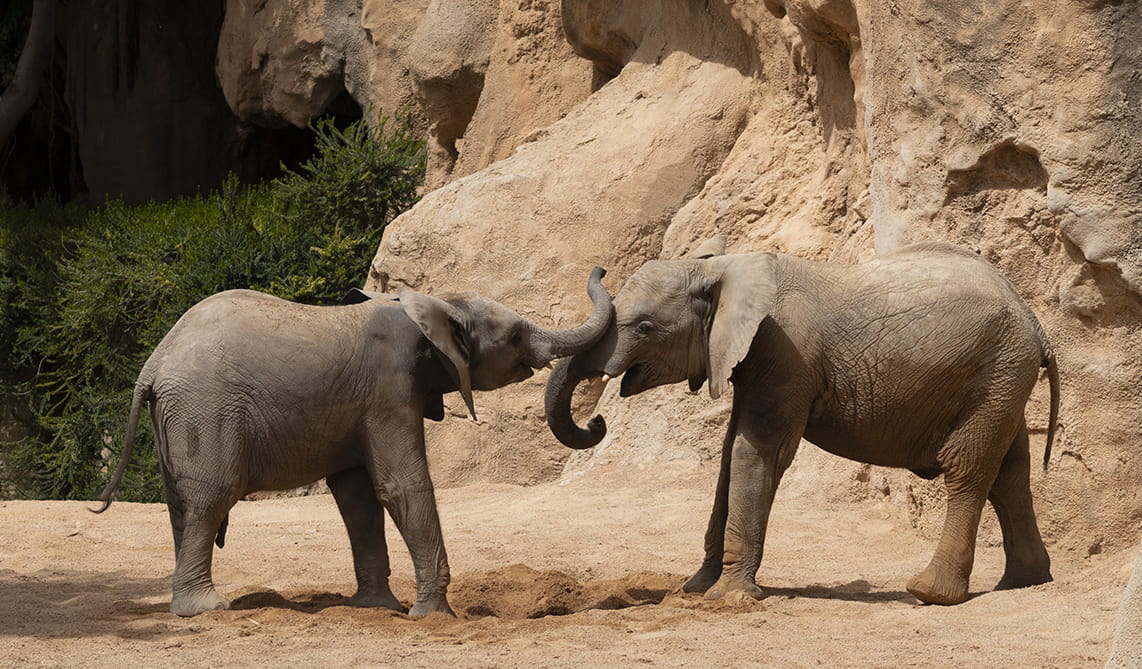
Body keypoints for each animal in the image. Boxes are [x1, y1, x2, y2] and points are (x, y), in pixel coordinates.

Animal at [94, 267, 612, 617]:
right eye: (517, 335)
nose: (598, 421)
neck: (429, 302)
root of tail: (153, 364)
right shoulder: (389, 387)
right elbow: (400, 486)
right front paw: (434, 617)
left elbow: (358, 497)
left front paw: (378, 608)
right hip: (205, 408)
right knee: (211, 498)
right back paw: (206, 609)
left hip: (178, 415)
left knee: (180, 504)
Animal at [545, 239, 1058, 606]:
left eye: (645, 327)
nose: (597, 422)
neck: (721, 267)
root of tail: (1036, 323)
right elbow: (731, 453)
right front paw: (696, 588)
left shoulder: (784, 351)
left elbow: (758, 451)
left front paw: (729, 597)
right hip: (1004, 377)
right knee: (1010, 470)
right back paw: (1023, 582)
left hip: (996, 370)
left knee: (968, 468)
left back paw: (931, 593)